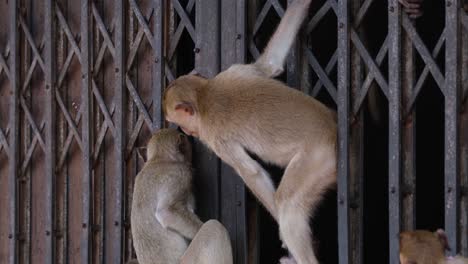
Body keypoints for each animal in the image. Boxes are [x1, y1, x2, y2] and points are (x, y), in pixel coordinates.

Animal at [163, 1, 334, 262]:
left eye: (181, 125)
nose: (188, 133)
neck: (205, 95)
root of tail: (333, 129)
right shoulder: (237, 70)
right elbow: (271, 63)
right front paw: (301, 5)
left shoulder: (216, 139)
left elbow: (253, 173)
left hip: (317, 160)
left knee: (287, 203)